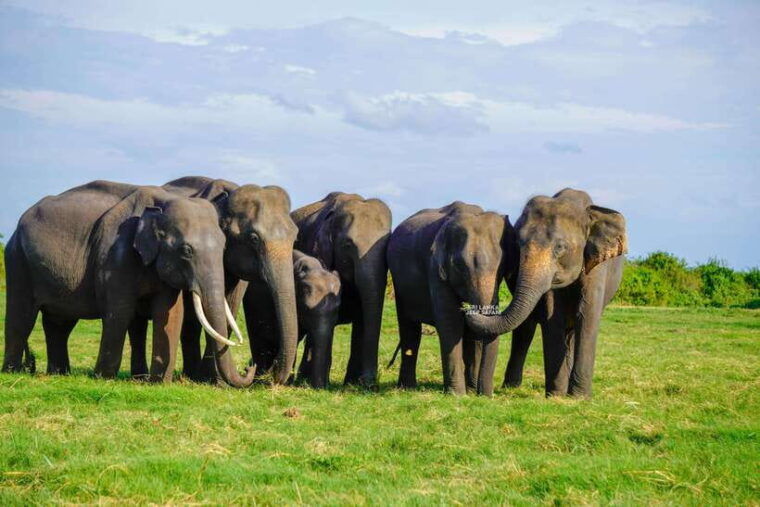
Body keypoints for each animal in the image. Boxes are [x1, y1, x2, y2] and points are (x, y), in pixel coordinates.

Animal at [2, 180, 253, 386]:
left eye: (223, 247)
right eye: (187, 251)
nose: (249, 367)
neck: (162, 203)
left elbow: (170, 313)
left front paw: (159, 383)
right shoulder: (115, 255)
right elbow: (120, 311)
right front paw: (103, 377)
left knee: (59, 323)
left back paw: (59, 374)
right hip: (18, 260)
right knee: (21, 317)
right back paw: (14, 372)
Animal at [128, 176, 299, 385]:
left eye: (295, 235)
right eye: (254, 238)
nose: (251, 367)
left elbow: (230, 305)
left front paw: (215, 381)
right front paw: (210, 379)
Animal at [387, 202, 515, 395]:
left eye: (503, 265)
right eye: (459, 266)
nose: (487, 395)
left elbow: (476, 330)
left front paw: (471, 392)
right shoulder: (434, 267)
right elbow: (450, 321)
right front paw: (458, 395)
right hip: (399, 284)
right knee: (410, 328)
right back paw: (407, 388)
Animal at [466, 188, 627, 398]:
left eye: (560, 247)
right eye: (518, 245)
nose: (468, 310)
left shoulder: (597, 266)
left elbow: (587, 315)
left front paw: (578, 397)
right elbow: (552, 317)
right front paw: (556, 395)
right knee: (525, 329)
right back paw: (512, 386)